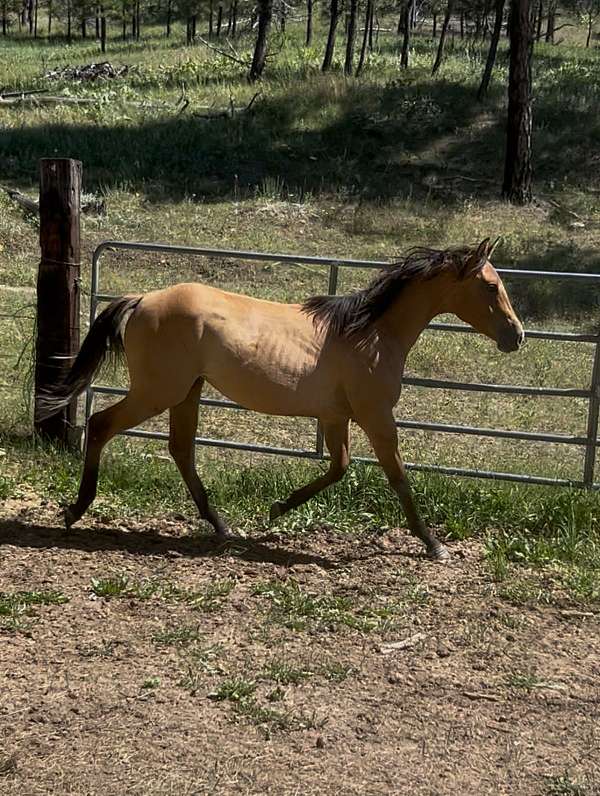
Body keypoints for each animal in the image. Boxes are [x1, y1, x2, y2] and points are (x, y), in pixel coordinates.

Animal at [37, 238, 524, 562]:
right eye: (489, 286)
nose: (516, 336)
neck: (371, 335)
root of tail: (140, 300)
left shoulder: (337, 417)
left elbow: (338, 467)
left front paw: (278, 509)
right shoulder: (376, 417)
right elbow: (399, 478)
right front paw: (434, 545)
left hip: (187, 391)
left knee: (181, 449)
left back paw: (221, 526)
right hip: (159, 391)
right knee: (102, 425)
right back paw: (75, 511)